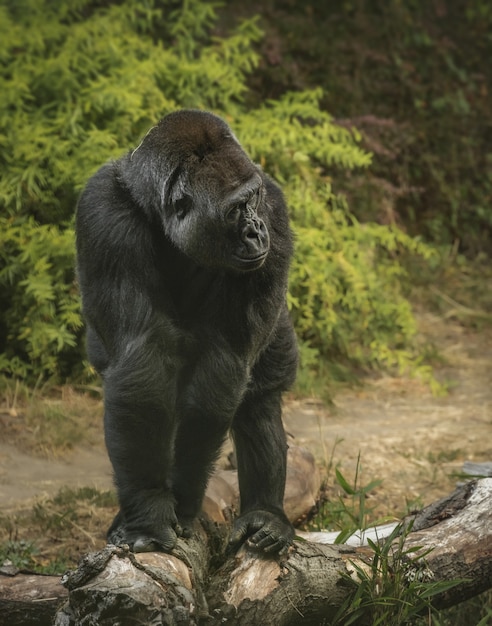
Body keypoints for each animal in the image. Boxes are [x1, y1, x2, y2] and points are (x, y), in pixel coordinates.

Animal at [76, 109, 298, 552]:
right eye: (236, 209)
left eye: (253, 200)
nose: (257, 230)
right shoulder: (102, 211)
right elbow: (142, 360)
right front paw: (149, 507)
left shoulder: (275, 206)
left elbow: (226, 359)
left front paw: (182, 498)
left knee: (258, 401)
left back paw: (266, 514)